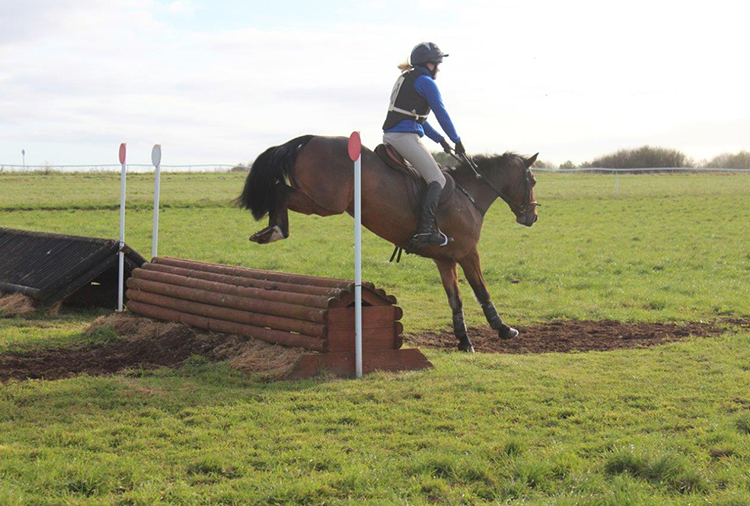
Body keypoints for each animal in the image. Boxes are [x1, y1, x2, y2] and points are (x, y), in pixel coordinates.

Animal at [237, 134, 539, 352]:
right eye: (533, 180)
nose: (532, 216)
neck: (469, 194)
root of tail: (310, 139)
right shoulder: (468, 253)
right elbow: (482, 291)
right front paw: (504, 329)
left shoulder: (445, 260)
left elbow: (456, 300)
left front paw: (464, 341)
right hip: (325, 203)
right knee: (280, 190)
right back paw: (276, 230)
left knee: (280, 190)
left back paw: (267, 232)